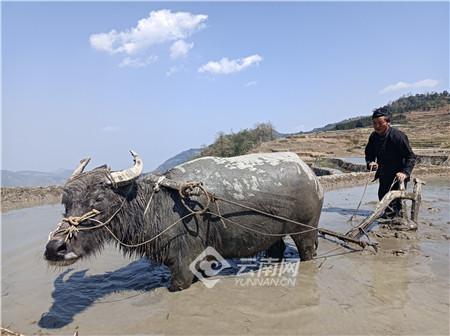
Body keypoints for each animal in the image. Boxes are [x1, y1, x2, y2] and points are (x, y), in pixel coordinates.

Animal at [44, 151, 324, 290]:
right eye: (65, 202)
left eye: (99, 198)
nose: (55, 248)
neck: (156, 206)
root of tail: (310, 173)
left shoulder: (182, 265)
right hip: (273, 234)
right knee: (276, 249)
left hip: (306, 230)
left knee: (307, 250)